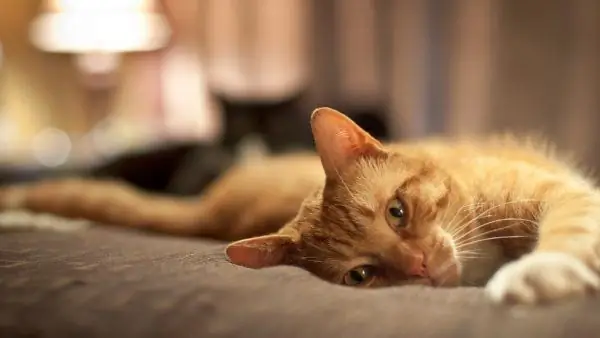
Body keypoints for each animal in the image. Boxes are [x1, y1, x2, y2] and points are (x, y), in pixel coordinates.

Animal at [1, 107, 600, 304]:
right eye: (362, 275)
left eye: (397, 211)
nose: (419, 267)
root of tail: (211, 206)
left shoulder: (558, 193)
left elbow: (571, 227)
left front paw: (542, 268)